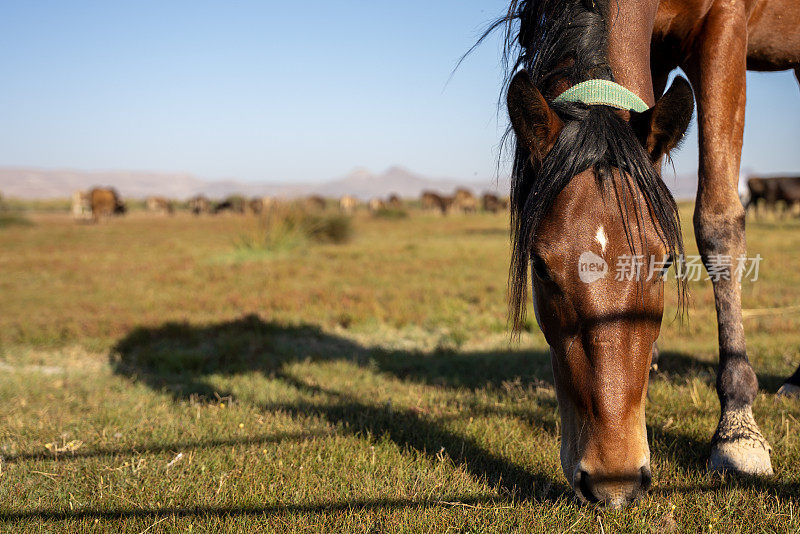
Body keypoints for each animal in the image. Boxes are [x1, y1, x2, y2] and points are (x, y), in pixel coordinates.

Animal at [488, 0, 800, 506]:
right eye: (541, 267)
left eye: (664, 264)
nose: (613, 480)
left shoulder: (724, 25)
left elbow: (717, 219)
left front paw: (737, 431)